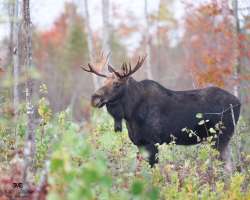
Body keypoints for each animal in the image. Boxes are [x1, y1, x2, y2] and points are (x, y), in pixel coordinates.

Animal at [81, 55, 241, 169]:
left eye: (116, 84)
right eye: (104, 82)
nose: (94, 98)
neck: (130, 114)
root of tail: (239, 102)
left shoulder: (153, 142)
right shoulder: (140, 143)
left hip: (220, 137)